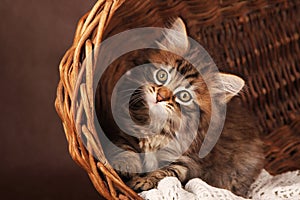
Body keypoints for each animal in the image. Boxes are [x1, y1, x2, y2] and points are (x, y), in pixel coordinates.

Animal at [106, 17, 264, 197]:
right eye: (162, 75)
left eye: (184, 96)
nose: (160, 97)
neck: (160, 125)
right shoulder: (127, 133)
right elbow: (124, 147)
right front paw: (126, 164)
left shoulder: (187, 162)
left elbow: (166, 173)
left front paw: (144, 181)